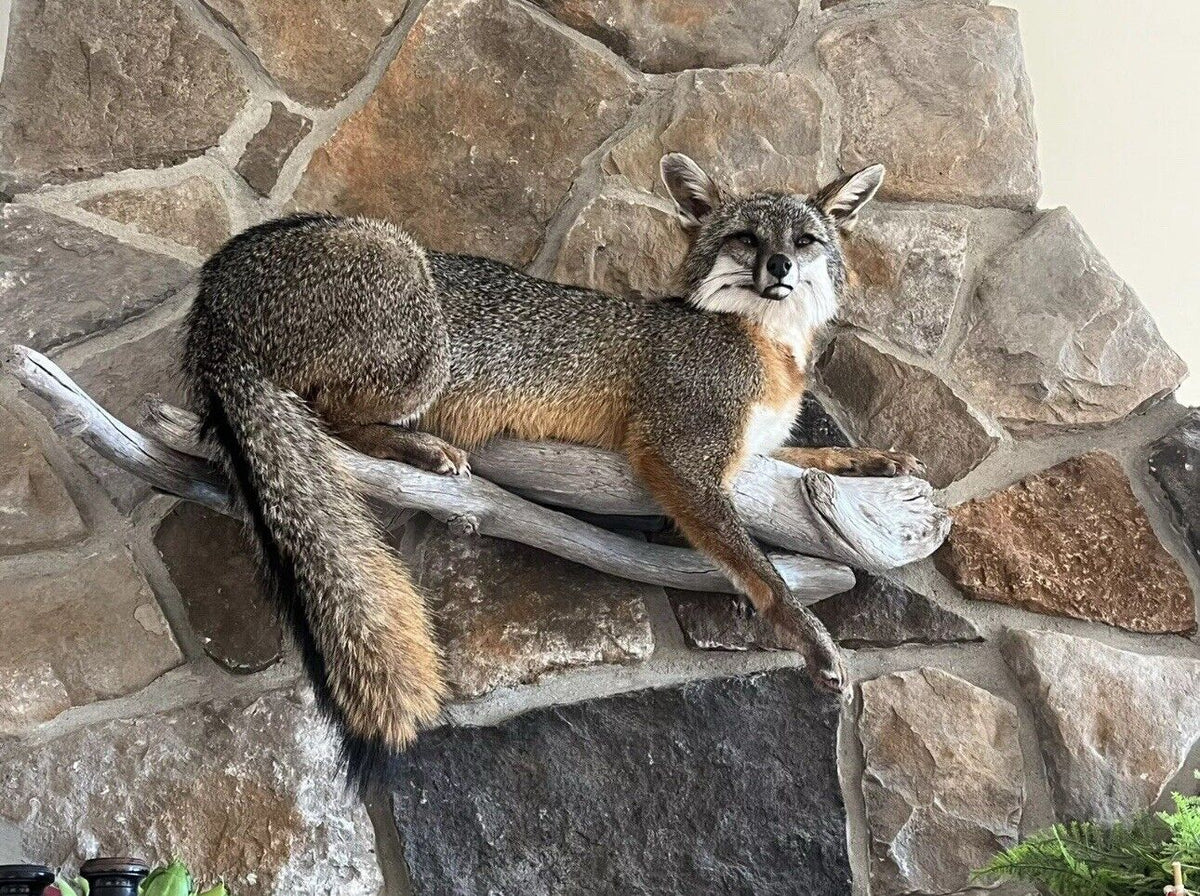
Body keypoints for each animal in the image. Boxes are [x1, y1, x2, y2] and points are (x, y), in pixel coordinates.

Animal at [182, 153, 923, 788]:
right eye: (746, 239)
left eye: (804, 239)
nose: (779, 266)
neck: (769, 347)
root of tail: (212, 286)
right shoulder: (679, 454)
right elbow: (762, 570)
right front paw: (810, 638)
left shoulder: (753, 455)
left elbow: (810, 461)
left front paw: (876, 459)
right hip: (419, 317)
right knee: (329, 415)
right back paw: (420, 449)